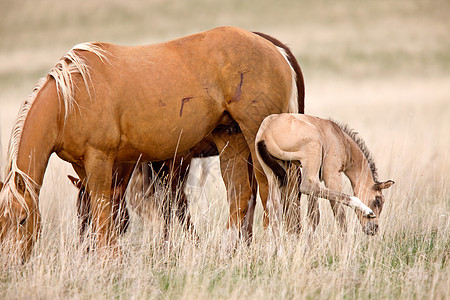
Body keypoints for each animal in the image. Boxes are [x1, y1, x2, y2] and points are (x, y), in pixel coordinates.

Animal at [0, 27, 306, 260]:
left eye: (23, 219)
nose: (11, 264)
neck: (70, 100)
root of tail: (274, 50)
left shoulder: (102, 160)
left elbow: (103, 210)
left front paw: (109, 261)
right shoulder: (84, 167)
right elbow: (104, 212)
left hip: (255, 138)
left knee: (272, 192)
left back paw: (276, 246)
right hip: (230, 138)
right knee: (241, 194)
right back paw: (230, 252)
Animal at [256, 113, 394, 236]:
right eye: (377, 200)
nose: (374, 229)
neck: (340, 138)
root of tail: (266, 130)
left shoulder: (316, 177)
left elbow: (314, 216)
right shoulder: (332, 175)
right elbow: (340, 214)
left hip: (274, 174)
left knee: (273, 208)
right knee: (305, 188)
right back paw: (365, 209)